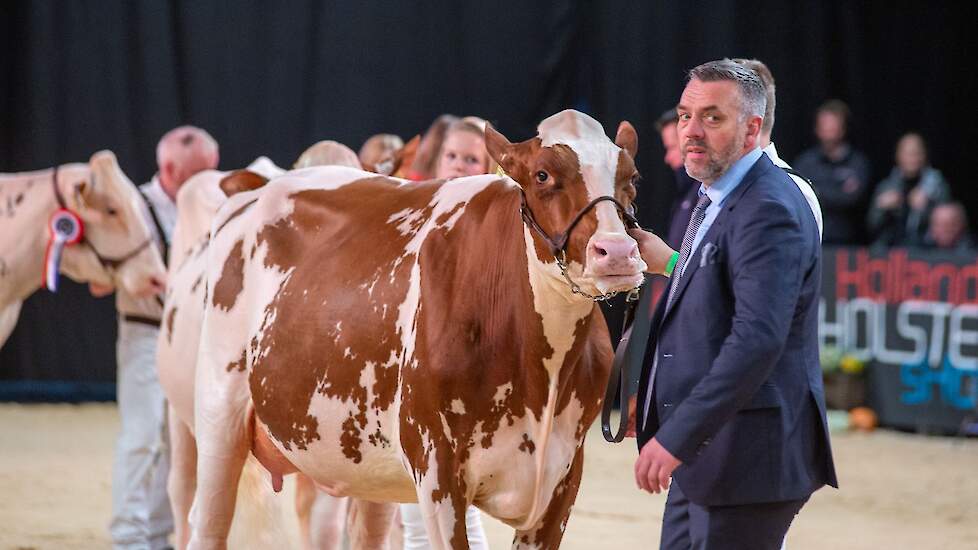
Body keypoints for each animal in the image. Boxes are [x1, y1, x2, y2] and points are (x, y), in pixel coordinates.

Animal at [189, 110, 648, 548]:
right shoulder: (437, 467)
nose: (618, 252)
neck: (540, 378)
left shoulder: (563, 478)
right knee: (207, 526)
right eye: (542, 175)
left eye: (632, 178)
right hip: (218, 415)